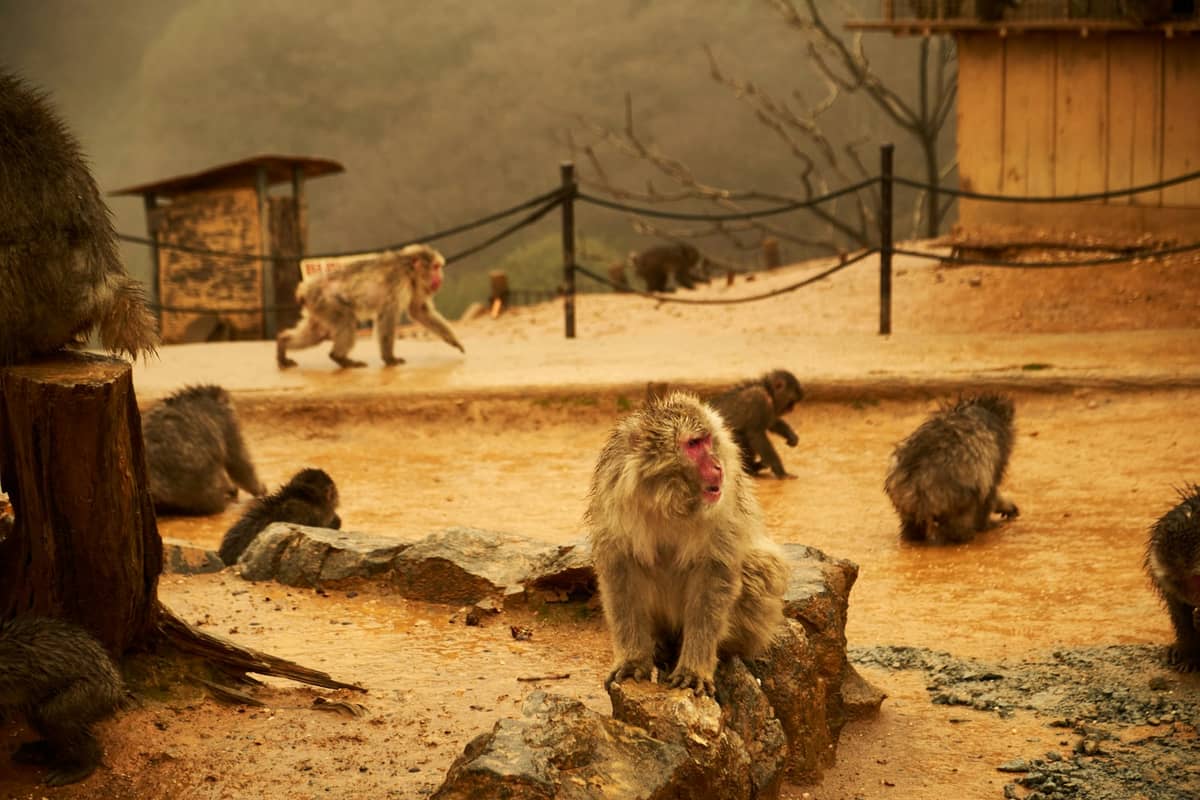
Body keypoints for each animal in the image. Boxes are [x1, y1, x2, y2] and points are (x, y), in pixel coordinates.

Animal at [276, 243, 464, 369]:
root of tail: (305, 289)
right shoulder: (397, 281)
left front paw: (454, 340)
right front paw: (389, 358)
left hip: (317, 307)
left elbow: (419, 310)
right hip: (326, 301)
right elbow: (388, 314)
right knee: (346, 320)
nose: (440, 277)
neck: (408, 270)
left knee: (317, 333)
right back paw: (339, 357)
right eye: (435, 267)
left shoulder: (415, 285)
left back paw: (283, 344)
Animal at [585, 391, 789, 698]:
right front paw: (633, 660)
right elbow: (620, 573)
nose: (717, 466)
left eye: (707, 440)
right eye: (693, 444)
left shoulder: (723, 506)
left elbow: (714, 576)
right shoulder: (614, 495)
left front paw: (695, 668)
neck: (668, 499)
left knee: (760, 566)